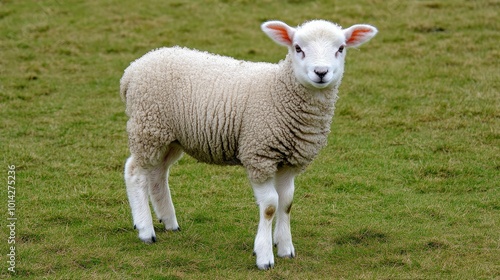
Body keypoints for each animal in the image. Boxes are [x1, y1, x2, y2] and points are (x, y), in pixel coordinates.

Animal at [121, 19, 376, 270]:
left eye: (340, 48)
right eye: (298, 48)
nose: (321, 72)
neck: (279, 90)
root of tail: (132, 70)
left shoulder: (290, 161)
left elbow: (287, 202)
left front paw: (285, 248)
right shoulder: (259, 155)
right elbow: (270, 205)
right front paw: (264, 256)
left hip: (169, 137)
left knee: (158, 174)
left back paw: (169, 222)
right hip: (148, 127)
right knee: (135, 172)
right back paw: (145, 230)